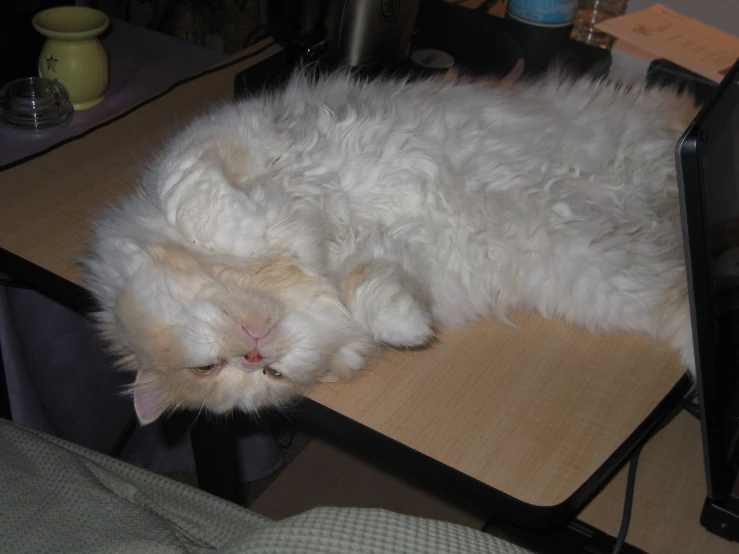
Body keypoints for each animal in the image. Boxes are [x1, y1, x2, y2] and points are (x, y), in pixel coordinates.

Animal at [86, 69, 700, 422]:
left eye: (208, 367)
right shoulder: (390, 263)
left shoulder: (219, 138)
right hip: (613, 279)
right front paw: (411, 328)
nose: (254, 357)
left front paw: (258, 232)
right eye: (266, 379)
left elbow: (203, 201)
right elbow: (374, 292)